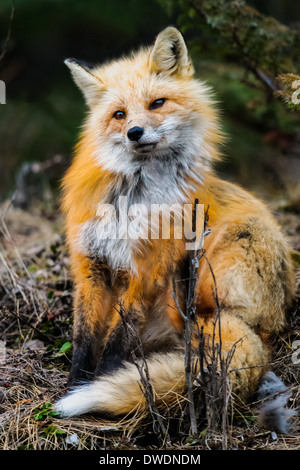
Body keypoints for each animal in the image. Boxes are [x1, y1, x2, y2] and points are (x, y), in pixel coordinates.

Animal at [54, 25, 296, 430]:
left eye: (157, 103)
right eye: (119, 114)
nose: (135, 132)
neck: (130, 199)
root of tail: (272, 328)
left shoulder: (146, 271)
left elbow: (117, 341)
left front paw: (100, 382)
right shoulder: (91, 265)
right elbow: (84, 339)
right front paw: (74, 384)